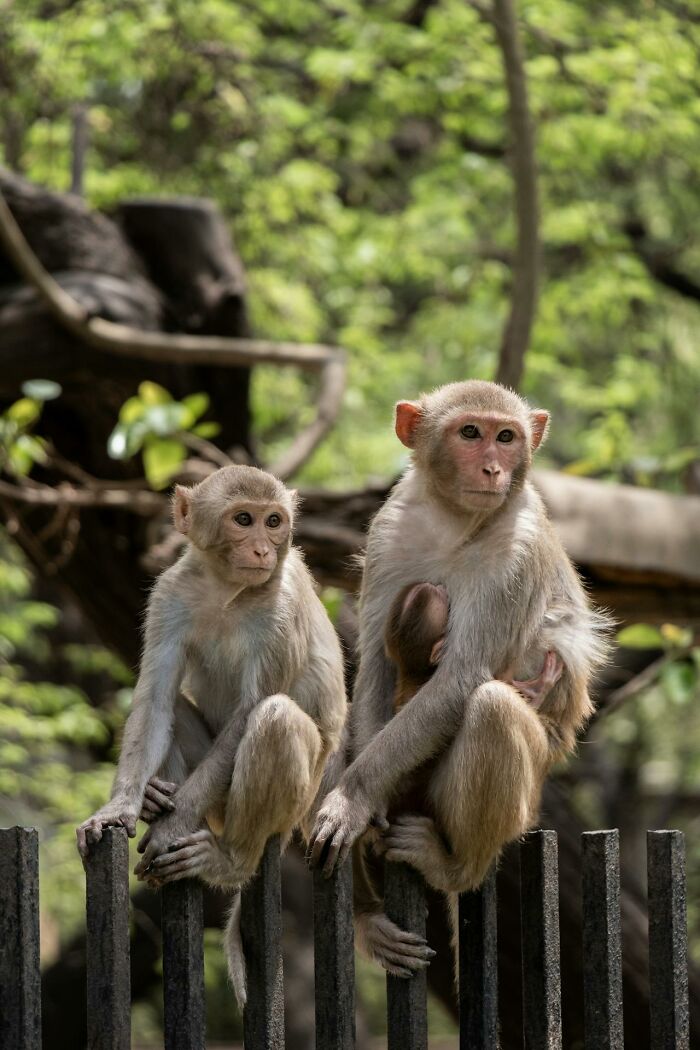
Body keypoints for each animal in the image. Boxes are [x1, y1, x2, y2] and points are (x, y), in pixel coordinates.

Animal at [76, 465, 347, 1004]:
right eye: (244, 519)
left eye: (274, 521)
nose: (263, 550)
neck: (228, 591)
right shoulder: (170, 594)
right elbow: (156, 699)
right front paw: (120, 806)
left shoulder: (282, 607)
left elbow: (248, 714)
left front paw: (172, 830)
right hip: (219, 804)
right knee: (178, 709)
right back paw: (157, 797)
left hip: (296, 802)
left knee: (275, 717)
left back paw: (228, 860)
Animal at [309, 380, 610, 974]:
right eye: (470, 432)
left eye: (506, 437)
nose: (493, 468)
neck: (455, 521)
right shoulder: (390, 531)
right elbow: (375, 667)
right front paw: (362, 806)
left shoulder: (517, 551)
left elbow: (462, 678)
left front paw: (353, 798)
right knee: (339, 729)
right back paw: (367, 913)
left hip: (521, 794)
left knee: (492, 706)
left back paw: (456, 867)